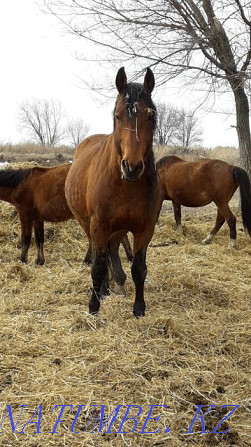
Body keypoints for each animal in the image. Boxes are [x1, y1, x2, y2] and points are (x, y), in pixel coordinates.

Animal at [65, 67, 158, 318]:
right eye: (117, 116)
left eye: (151, 116)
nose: (132, 167)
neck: (124, 184)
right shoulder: (99, 225)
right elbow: (98, 265)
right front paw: (93, 306)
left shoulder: (144, 228)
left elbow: (139, 268)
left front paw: (139, 308)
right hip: (88, 224)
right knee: (101, 254)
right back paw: (104, 289)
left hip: (117, 229)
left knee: (112, 249)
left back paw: (115, 282)